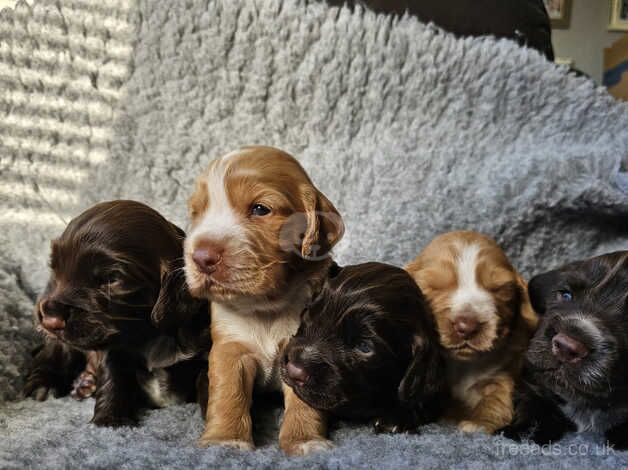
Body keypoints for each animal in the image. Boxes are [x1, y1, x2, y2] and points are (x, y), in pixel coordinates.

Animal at [24, 198, 211, 426]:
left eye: (111, 279)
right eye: (55, 269)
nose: (50, 319)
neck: (151, 336)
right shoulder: (115, 351)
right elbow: (114, 378)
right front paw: (110, 420)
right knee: (52, 356)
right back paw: (44, 384)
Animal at [184, 146, 346, 456]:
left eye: (260, 209)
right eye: (197, 213)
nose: (201, 257)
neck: (265, 307)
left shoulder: (301, 351)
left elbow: (304, 399)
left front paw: (304, 440)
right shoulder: (229, 348)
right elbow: (228, 393)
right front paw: (225, 439)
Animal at [404, 231, 536, 434]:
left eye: (497, 289)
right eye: (435, 286)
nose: (467, 326)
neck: (462, 364)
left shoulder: (502, 373)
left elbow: (497, 399)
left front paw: (479, 423)